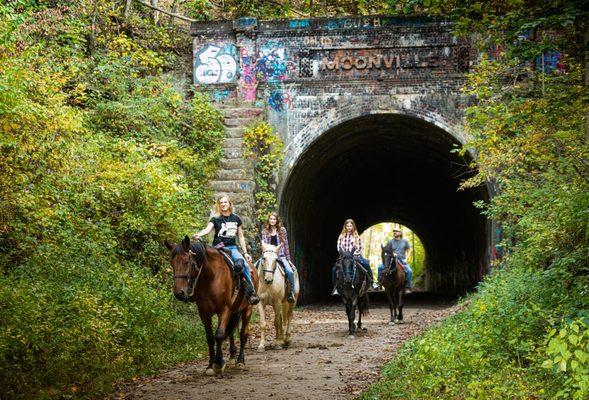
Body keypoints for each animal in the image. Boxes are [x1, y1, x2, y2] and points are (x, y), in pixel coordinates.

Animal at [165, 236, 258, 374]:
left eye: (186, 261)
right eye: (171, 263)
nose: (179, 293)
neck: (211, 277)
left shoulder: (225, 309)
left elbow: (219, 334)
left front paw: (218, 363)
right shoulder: (204, 312)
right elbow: (210, 338)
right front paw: (210, 365)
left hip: (247, 308)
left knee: (243, 333)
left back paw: (240, 361)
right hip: (235, 311)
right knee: (231, 331)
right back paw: (232, 357)